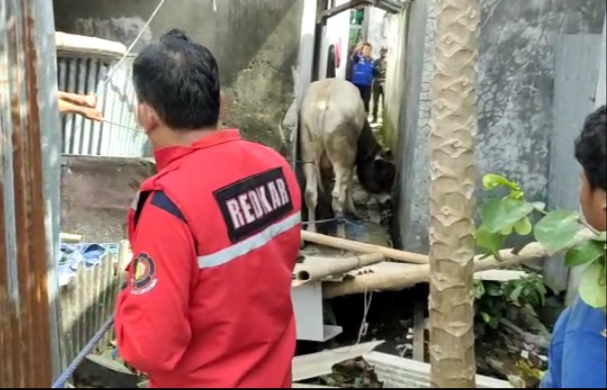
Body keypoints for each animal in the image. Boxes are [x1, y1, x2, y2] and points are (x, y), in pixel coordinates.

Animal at [302, 78, 396, 238]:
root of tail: (324, 100)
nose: (388, 200)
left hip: (308, 155)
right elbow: (349, 186)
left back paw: (311, 230)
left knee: (310, 193)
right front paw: (352, 210)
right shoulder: (351, 163)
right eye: (387, 175)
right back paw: (341, 234)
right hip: (342, 161)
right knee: (337, 197)